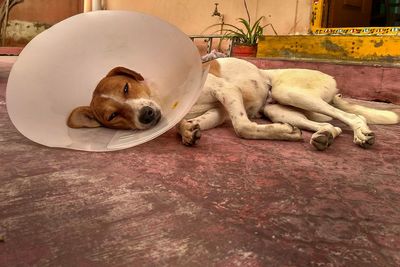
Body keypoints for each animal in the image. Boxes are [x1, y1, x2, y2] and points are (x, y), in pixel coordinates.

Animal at [67, 57, 398, 152]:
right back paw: (321, 137)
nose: (147, 115)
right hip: (280, 108)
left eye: (126, 87)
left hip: (291, 92)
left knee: (349, 117)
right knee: (331, 125)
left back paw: (361, 134)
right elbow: (191, 125)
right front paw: (188, 132)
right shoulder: (216, 111)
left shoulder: (227, 93)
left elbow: (242, 127)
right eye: (113, 115)